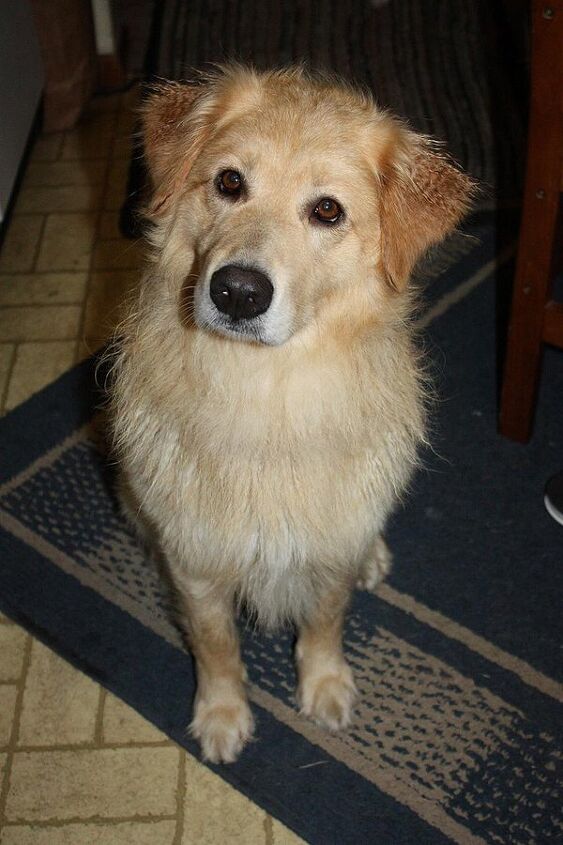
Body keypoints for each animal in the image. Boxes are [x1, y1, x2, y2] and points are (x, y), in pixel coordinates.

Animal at [109, 66, 472, 760]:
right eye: (229, 182)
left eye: (327, 210)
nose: (237, 292)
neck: (265, 393)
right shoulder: (197, 558)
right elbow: (216, 644)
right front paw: (222, 713)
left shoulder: (326, 548)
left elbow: (325, 622)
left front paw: (324, 686)